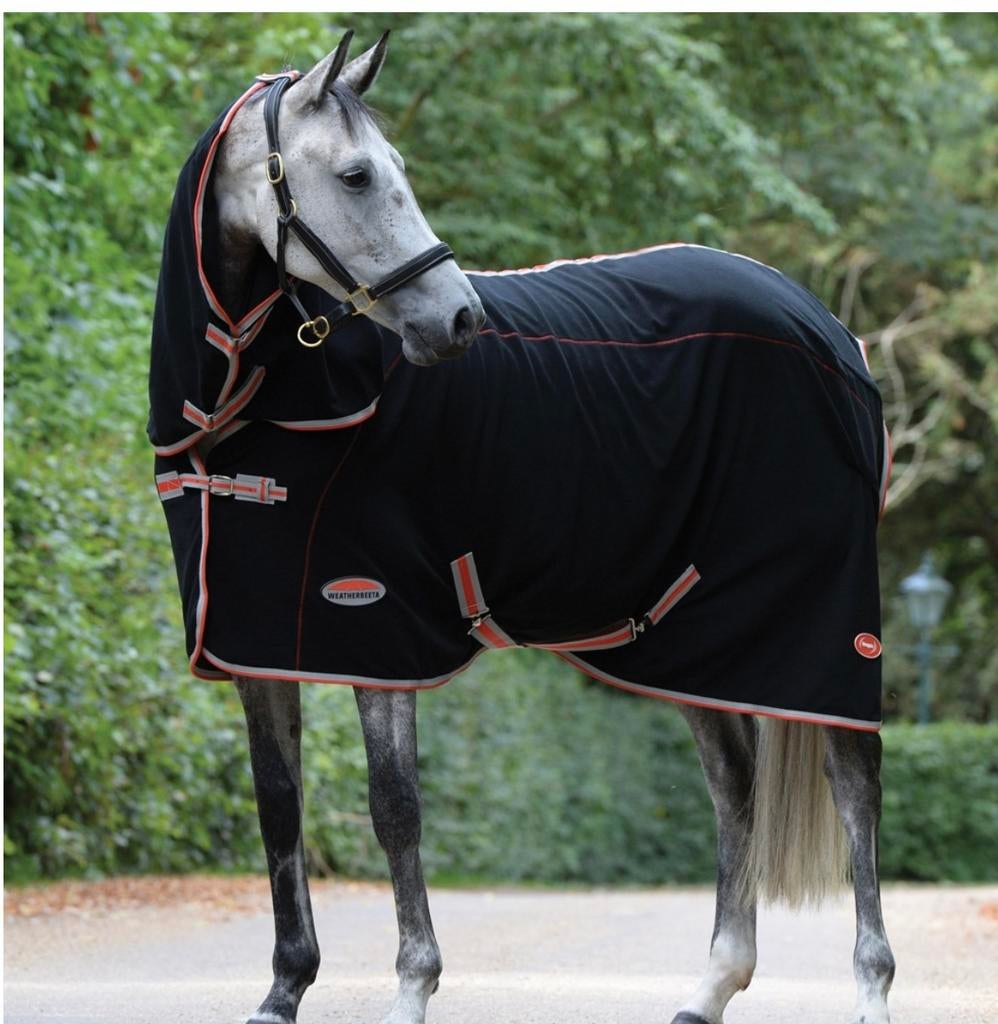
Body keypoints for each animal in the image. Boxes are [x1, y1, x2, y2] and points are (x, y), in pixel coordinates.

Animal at [148, 32, 895, 1024]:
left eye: (391, 168)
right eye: (355, 175)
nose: (459, 318)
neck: (260, 411)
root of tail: (832, 331)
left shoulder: (375, 631)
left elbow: (395, 808)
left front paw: (411, 990)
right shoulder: (260, 647)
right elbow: (279, 804)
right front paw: (281, 992)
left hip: (822, 633)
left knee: (854, 787)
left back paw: (869, 986)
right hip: (700, 636)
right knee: (733, 784)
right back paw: (709, 987)